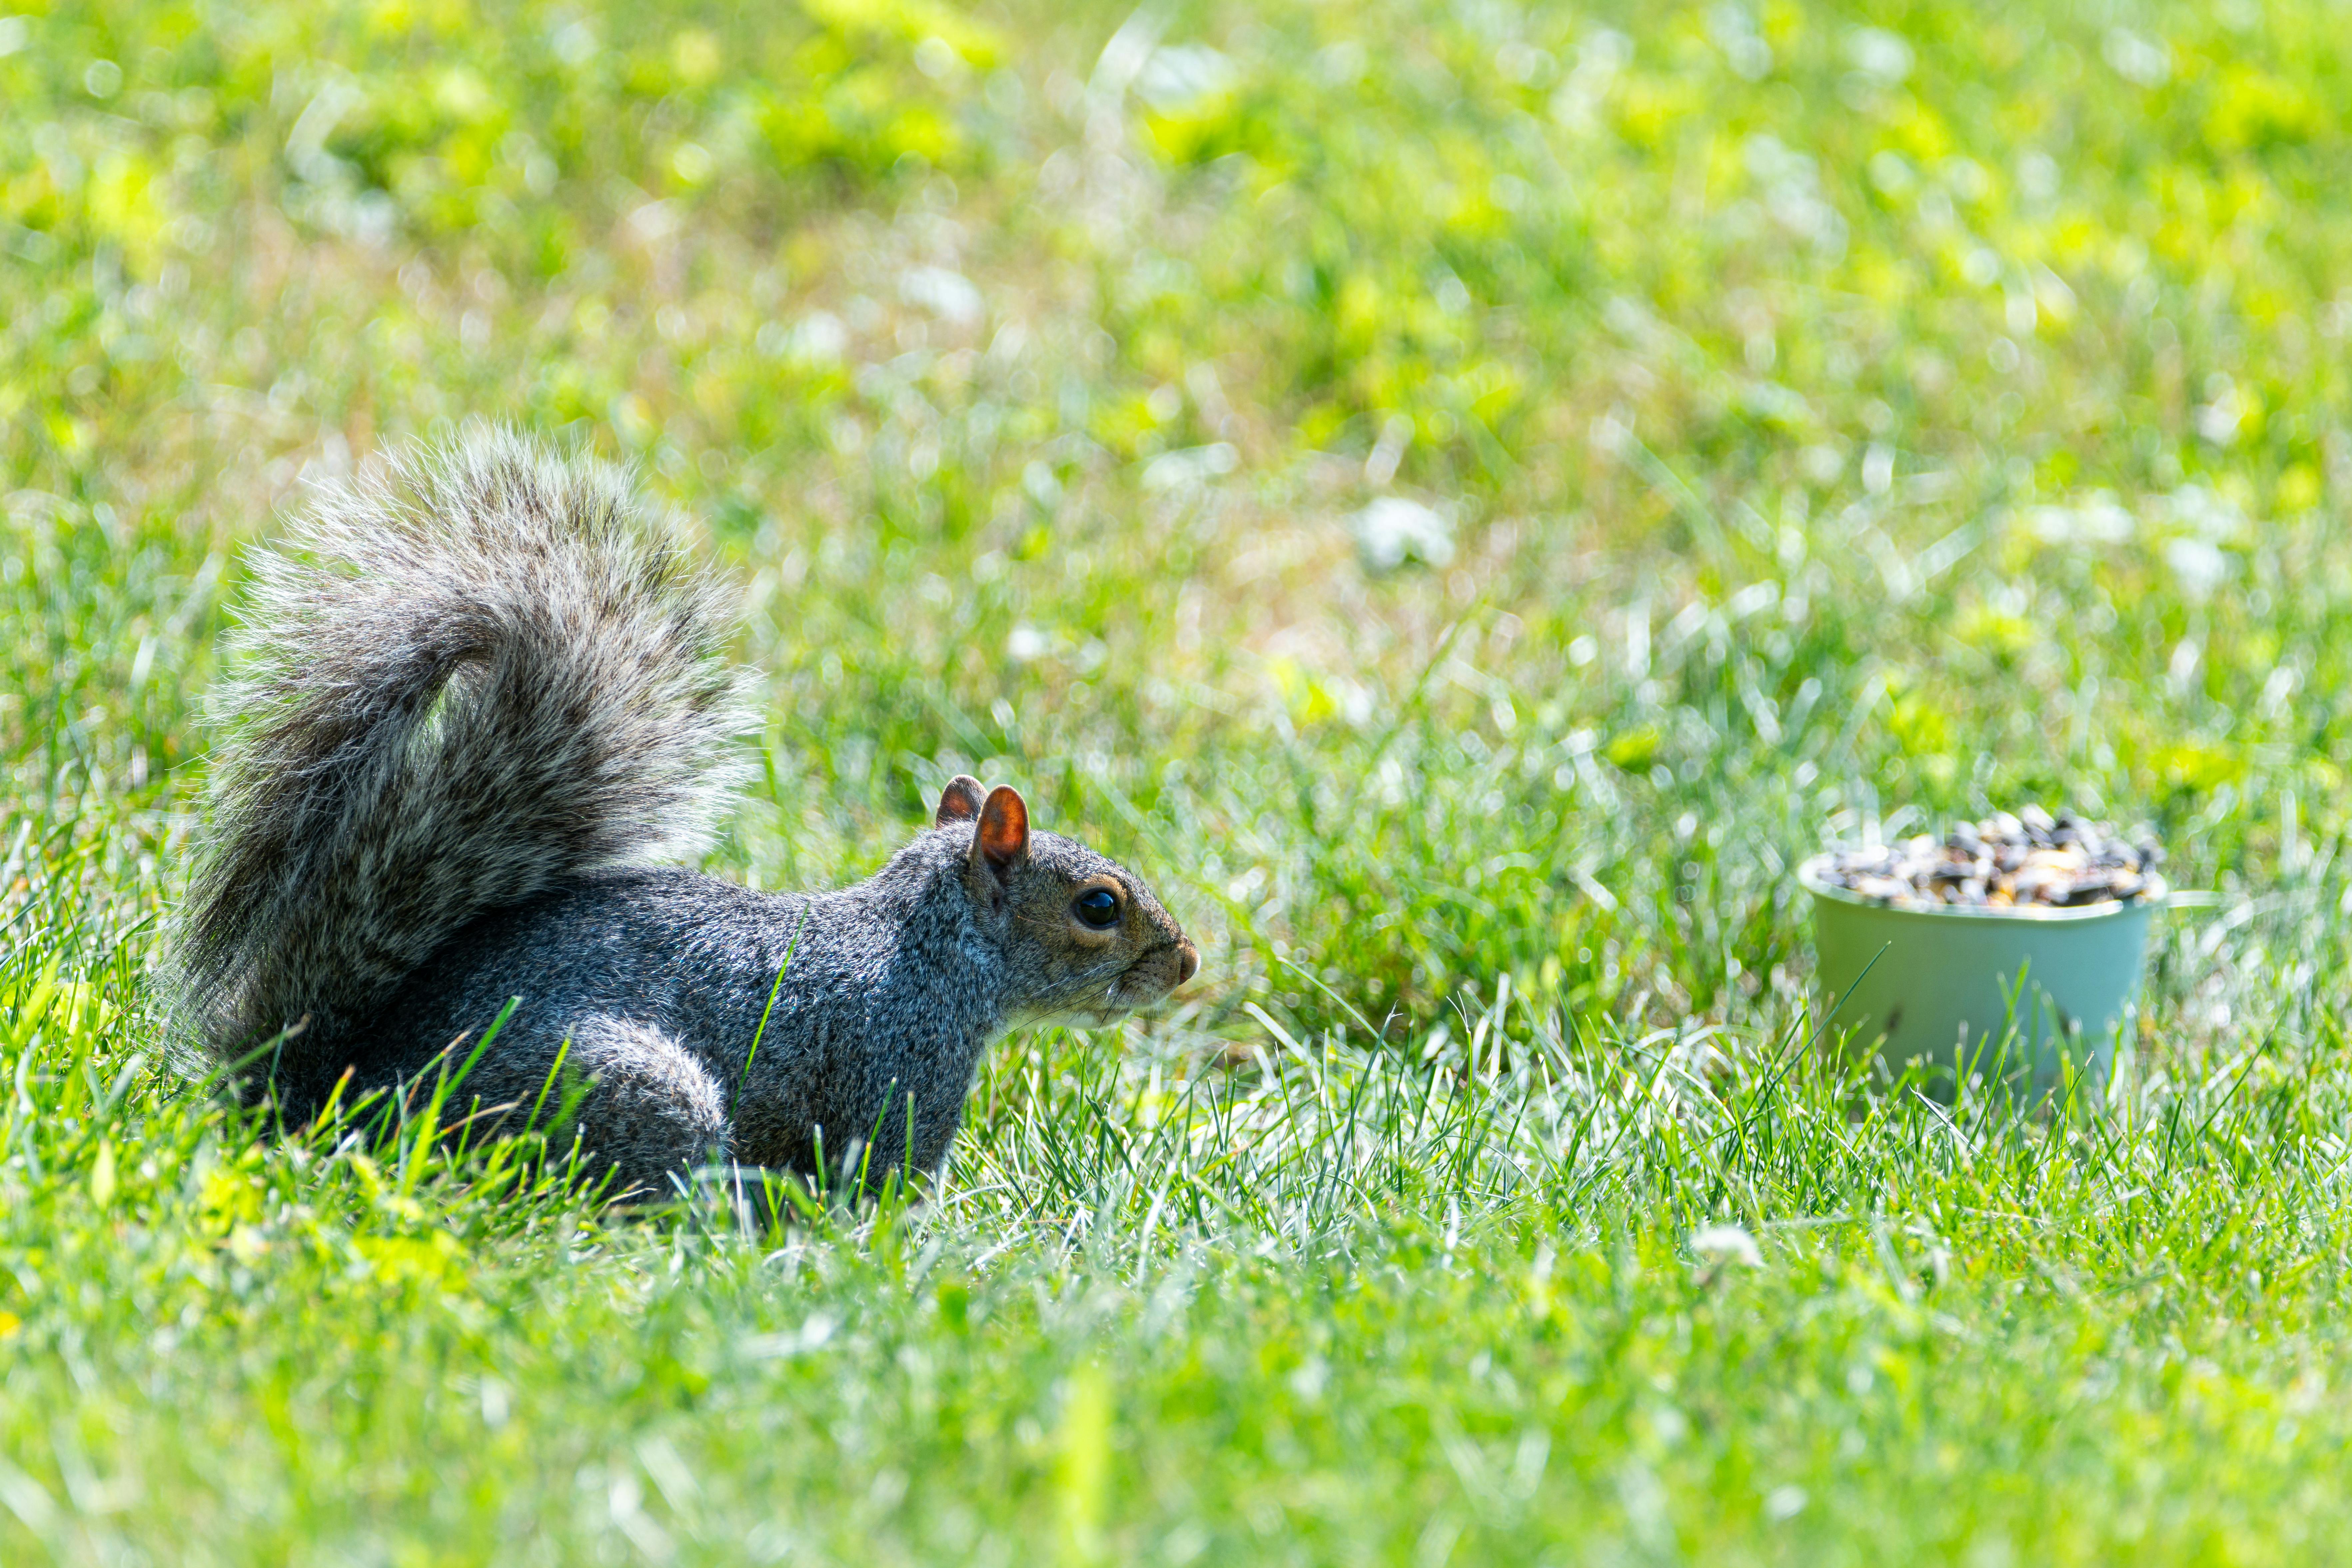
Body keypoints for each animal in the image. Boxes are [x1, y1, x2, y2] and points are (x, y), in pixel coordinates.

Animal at [168, 429, 1199, 1199]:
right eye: (1098, 906)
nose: (1185, 961)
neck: (929, 948)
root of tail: (354, 1100)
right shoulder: (896, 1067)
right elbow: (885, 1181)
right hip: (626, 1087)